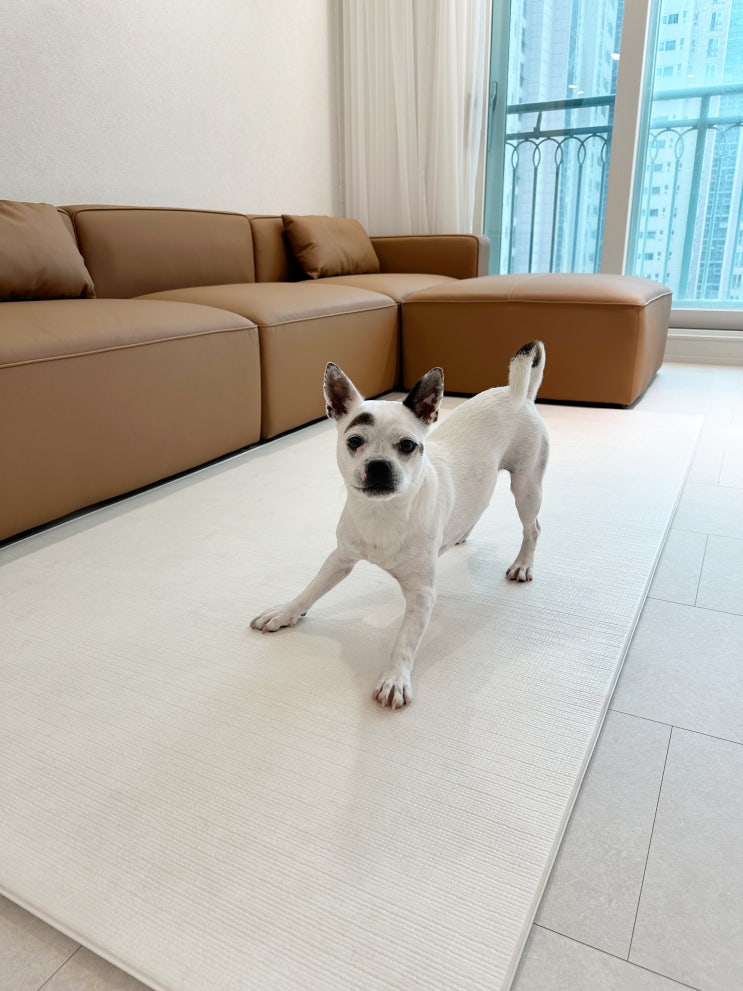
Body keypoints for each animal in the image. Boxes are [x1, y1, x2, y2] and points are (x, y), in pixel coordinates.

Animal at [251, 341, 549, 709]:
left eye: (407, 446)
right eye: (354, 442)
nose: (379, 465)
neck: (383, 513)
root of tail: (518, 394)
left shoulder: (421, 594)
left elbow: (405, 641)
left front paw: (395, 678)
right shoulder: (340, 559)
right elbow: (311, 590)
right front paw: (284, 612)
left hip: (526, 487)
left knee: (532, 528)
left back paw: (522, 564)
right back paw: (460, 533)